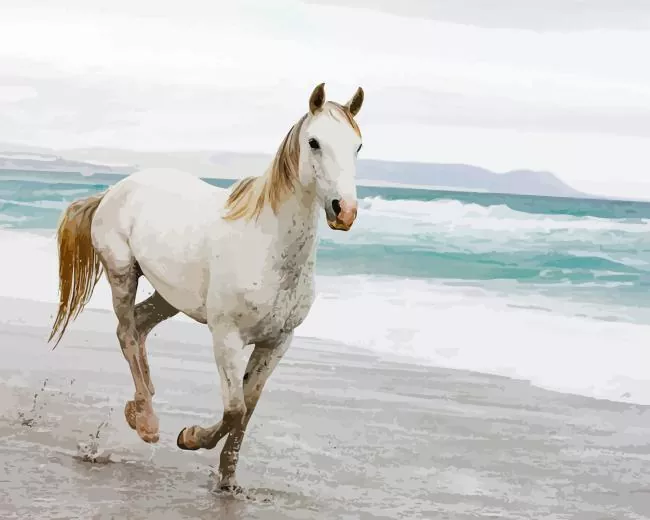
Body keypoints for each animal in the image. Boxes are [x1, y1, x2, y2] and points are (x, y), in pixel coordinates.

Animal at [47, 83, 364, 491]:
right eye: (314, 142)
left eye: (357, 146)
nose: (345, 211)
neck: (267, 244)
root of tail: (114, 190)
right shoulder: (226, 336)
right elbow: (234, 409)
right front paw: (190, 437)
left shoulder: (276, 343)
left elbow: (248, 410)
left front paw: (228, 481)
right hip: (122, 274)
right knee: (127, 332)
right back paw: (147, 422)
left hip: (169, 296)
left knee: (140, 324)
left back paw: (141, 404)